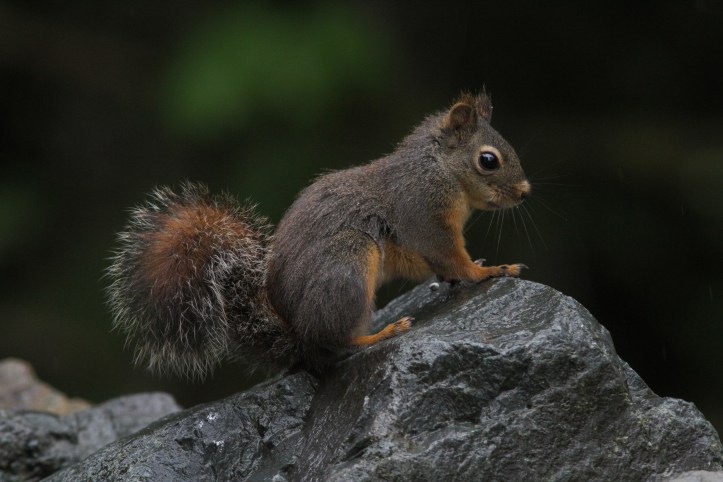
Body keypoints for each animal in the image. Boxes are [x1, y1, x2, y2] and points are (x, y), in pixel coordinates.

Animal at [106, 91, 531, 379]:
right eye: (488, 160)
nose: (526, 192)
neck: (439, 169)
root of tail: (300, 338)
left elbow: (442, 265)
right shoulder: (424, 215)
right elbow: (448, 255)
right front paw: (490, 270)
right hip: (348, 262)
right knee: (336, 343)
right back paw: (380, 334)